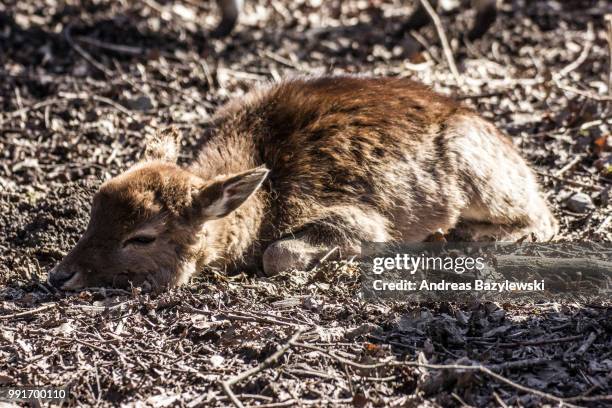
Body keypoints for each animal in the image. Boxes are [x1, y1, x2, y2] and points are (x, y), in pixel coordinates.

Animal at [46, 75, 556, 290]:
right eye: (93, 211)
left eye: (142, 237)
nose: (60, 274)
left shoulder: (360, 219)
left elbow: (278, 253)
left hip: (481, 175)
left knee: (543, 220)